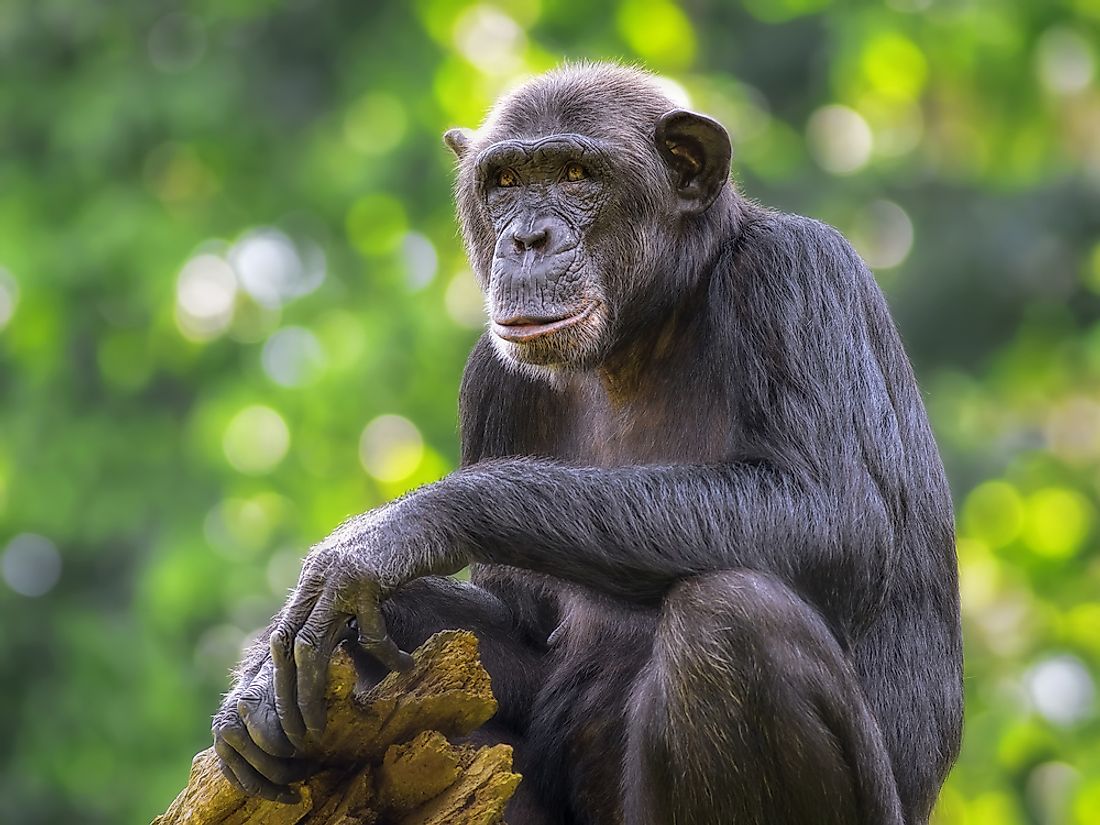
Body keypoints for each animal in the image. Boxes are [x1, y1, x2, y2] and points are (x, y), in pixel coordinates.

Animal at [212, 64, 963, 825]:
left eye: (576, 174)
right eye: (506, 181)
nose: (528, 238)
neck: (645, 331)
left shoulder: (799, 274)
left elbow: (834, 514)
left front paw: (390, 535)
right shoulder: (492, 381)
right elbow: (522, 623)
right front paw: (265, 677)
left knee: (732, 618)